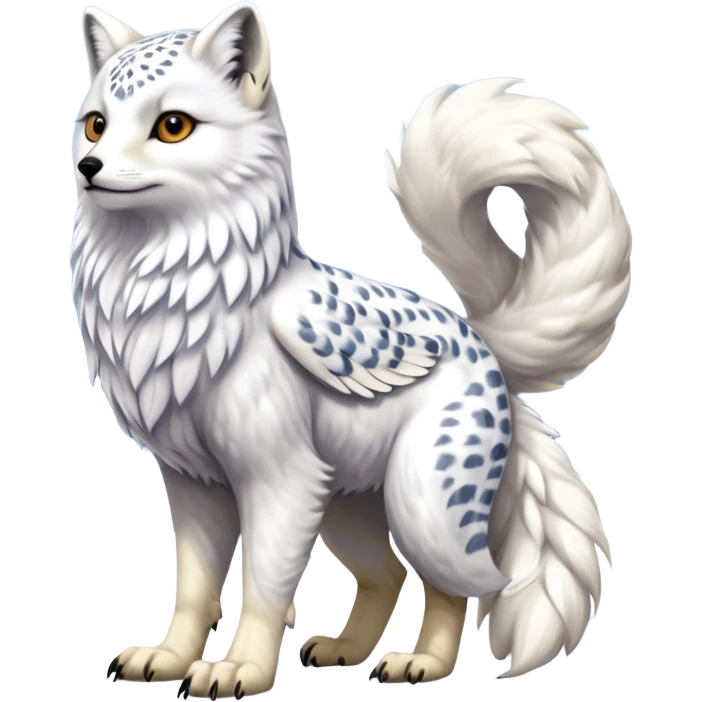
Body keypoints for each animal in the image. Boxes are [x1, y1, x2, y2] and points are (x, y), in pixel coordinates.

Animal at [75, 2, 631, 699]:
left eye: (172, 126)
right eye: (96, 124)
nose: (88, 167)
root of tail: (480, 340)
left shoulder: (279, 481)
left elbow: (262, 590)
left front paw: (242, 670)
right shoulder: (196, 485)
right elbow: (194, 592)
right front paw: (172, 660)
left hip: (417, 504)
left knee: (455, 585)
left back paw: (423, 664)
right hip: (345, 503)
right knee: (388, 575)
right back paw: (346, 650)